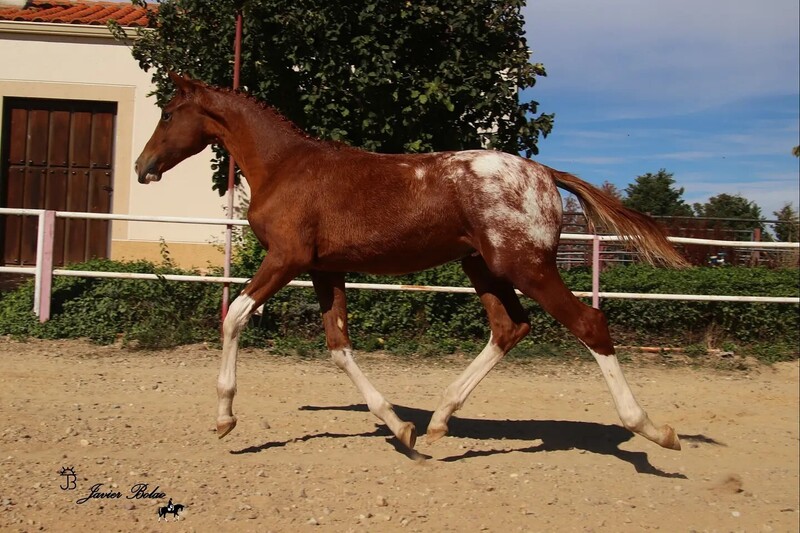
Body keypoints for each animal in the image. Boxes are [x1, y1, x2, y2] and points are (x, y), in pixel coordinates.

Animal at [135, 72, 687, 452]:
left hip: (525, 266)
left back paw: (653, 430)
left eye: (168, 113)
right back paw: (440, 419)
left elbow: (233, 316)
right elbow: (339, 346)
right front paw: (400, 426)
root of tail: (545, 172)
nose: (143, 167)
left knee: (589, 323)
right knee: (510, 327)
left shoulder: (286, 258)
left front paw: (225, 417)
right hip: (483, 268)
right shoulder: (324, 269)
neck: (285, 166)